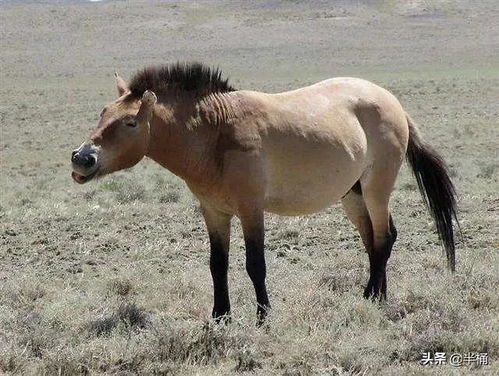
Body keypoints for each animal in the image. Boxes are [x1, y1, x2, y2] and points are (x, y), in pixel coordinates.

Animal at [72, 61, 458, 324]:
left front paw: (262, 317)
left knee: (384, 238)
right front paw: (220, 317)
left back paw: (369, 296)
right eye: (103, 113)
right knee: (374, 240)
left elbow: (255, 265)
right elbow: (217, 265)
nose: (81, 158)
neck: (216, 133)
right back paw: (378, 297)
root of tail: (394, 104)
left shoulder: (251, 209)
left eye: (130, 122)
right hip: (353, 195)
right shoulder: (214, 212)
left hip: (377, 189)